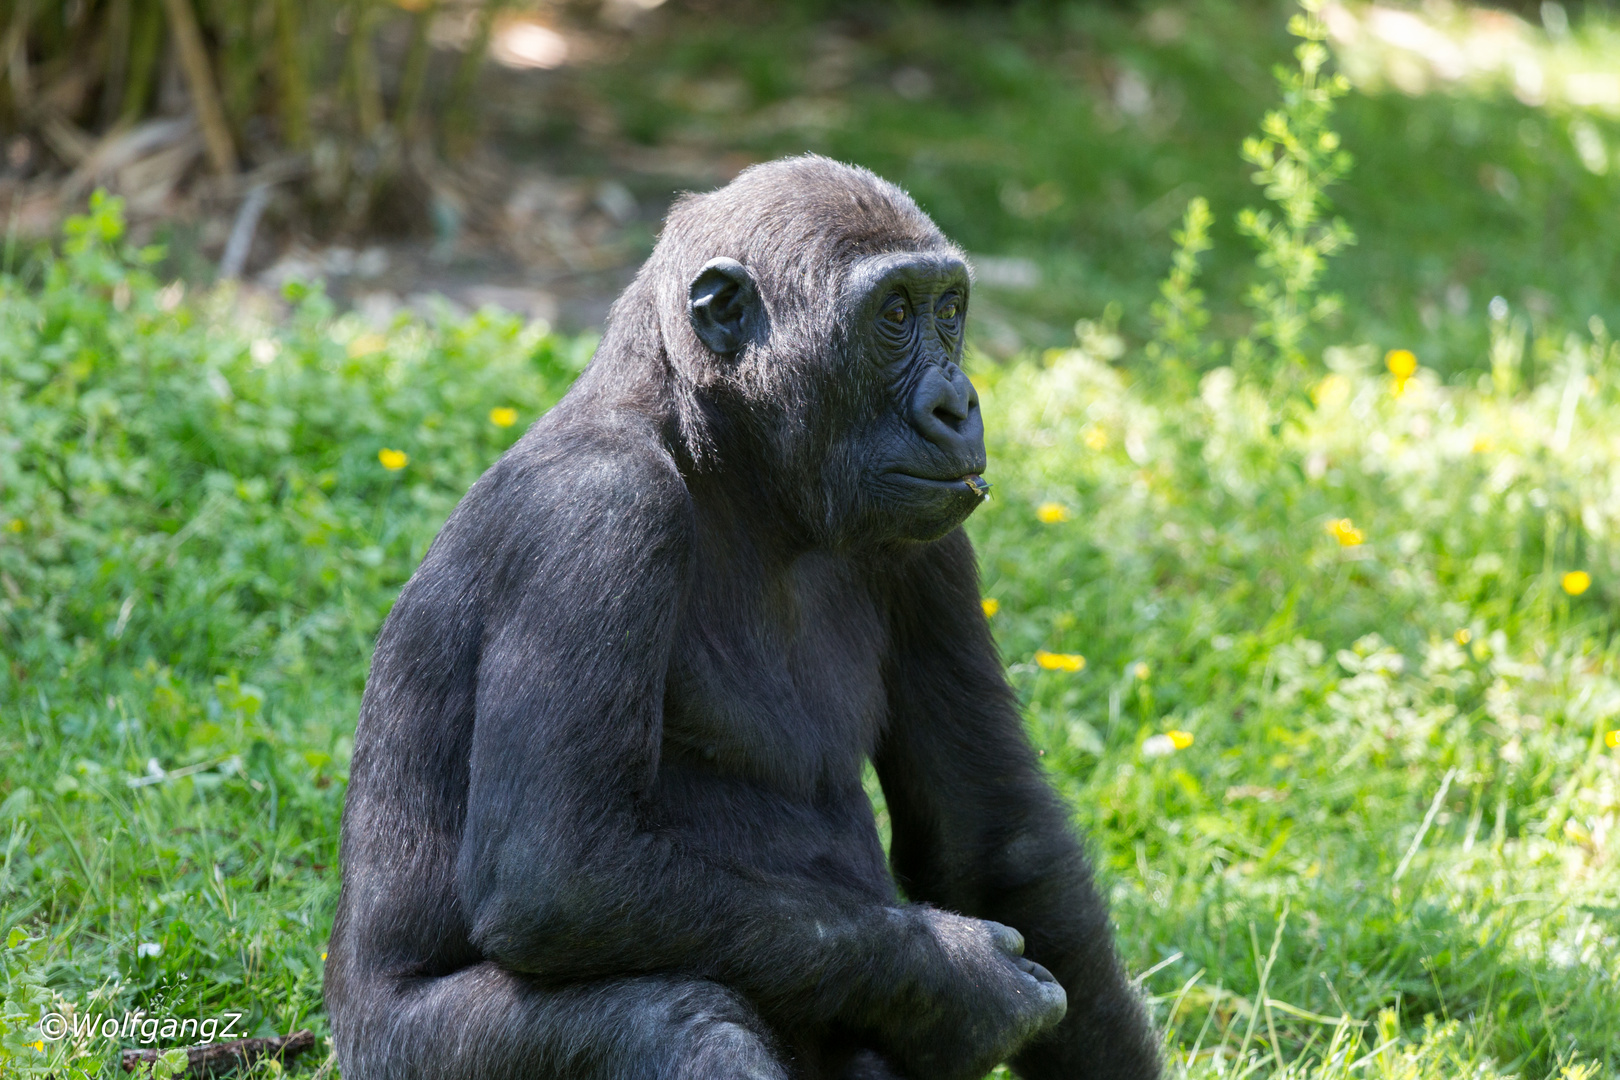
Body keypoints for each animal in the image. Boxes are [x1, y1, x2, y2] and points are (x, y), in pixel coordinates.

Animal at [325, 153, 1166, 1080]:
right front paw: (963, 981)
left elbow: (993, 837)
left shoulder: (929, 544)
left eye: (949, 310)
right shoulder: (601, 507)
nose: (958, 405)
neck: (721, 456)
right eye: (895, 314)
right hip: (394, 1054)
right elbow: (557, 870)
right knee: (673, 1020)